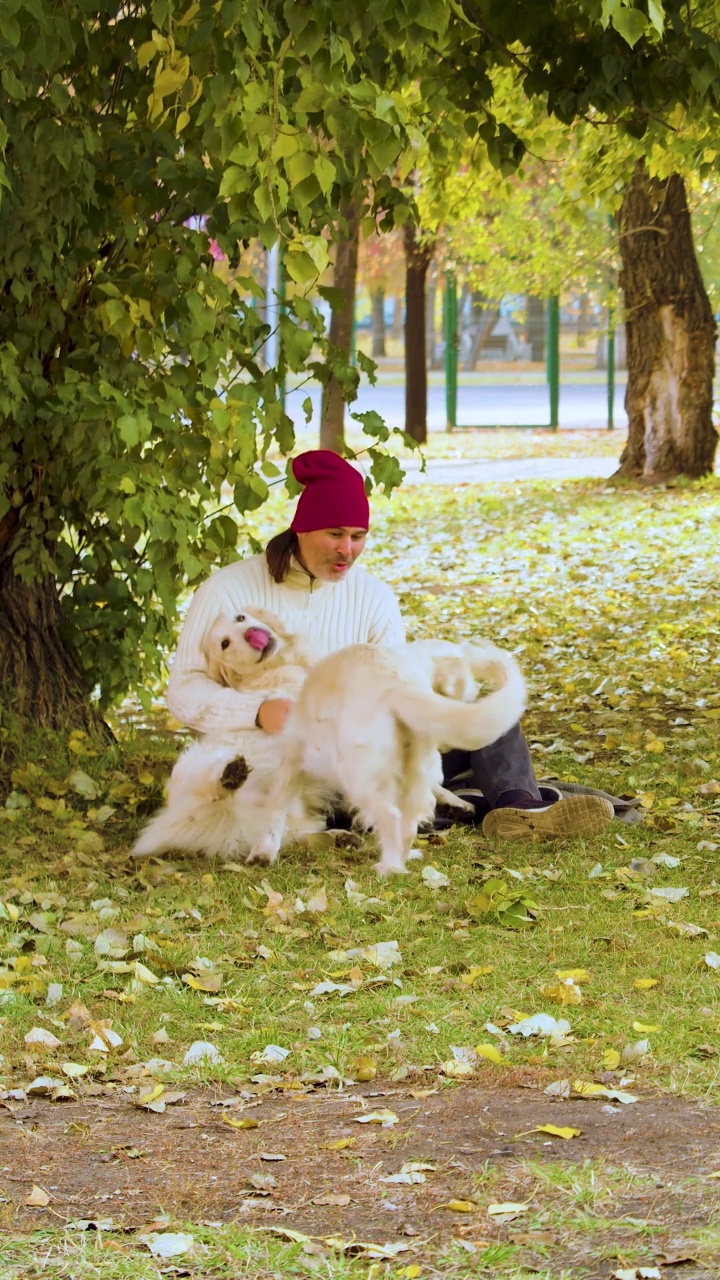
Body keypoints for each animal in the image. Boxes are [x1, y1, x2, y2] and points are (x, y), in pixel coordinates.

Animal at [129, 606, 319, 860]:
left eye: (240, 618)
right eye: (225, 644)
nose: (251, 633)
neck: (272, 669)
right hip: (193, 765)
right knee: (211, 786)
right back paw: (230, 775)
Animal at [244, 637, 520, 875]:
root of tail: (396, 685)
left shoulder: (292, 761)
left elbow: (275, 812)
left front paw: (261, 854)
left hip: (359, 778)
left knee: (390, 816)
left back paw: (388, 868)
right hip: (414, 769)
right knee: (408, 825)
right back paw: (401, 861)